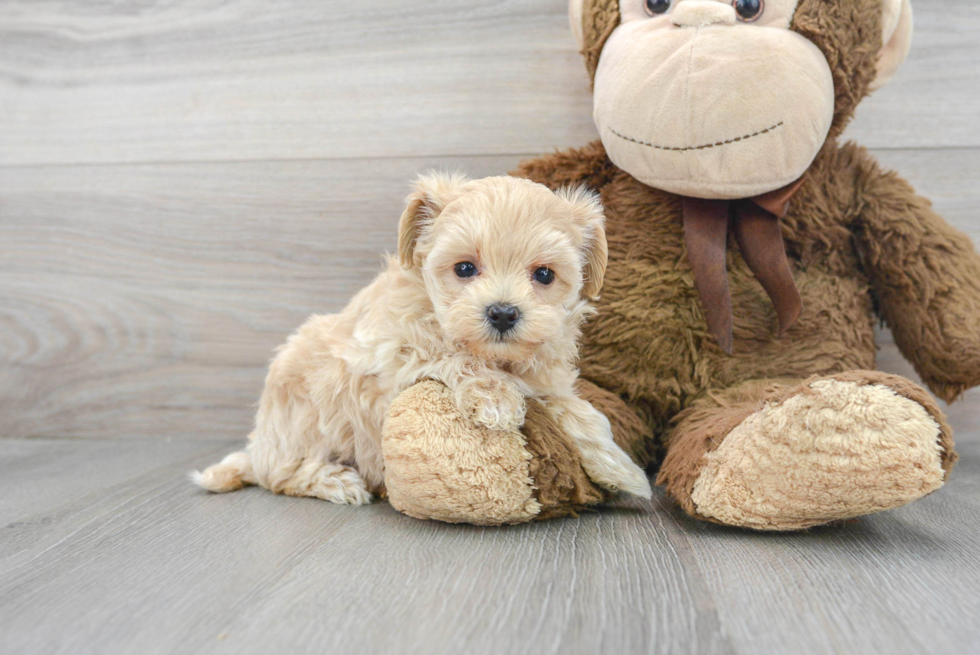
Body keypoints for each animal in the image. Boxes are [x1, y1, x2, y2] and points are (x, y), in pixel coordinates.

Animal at [193, 173, 652, 502]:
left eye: (544, 275)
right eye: (464, 268)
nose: (503, 313)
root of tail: (258, 448)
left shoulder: (544, 377)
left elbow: (572, 409)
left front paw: (618, 466)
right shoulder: (384, 358)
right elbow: (448, 355)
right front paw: (496, 396)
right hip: (299, 416)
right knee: (281, 475)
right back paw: (337, 481)